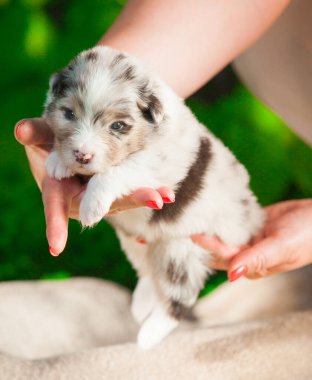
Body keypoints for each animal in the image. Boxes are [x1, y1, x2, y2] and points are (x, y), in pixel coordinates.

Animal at [43, 46, 264, 348]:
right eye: (69, 114)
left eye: (118, 126)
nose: (82, 155)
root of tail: (254, 218)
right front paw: (58, 161)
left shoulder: (156, 165)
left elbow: (117, 171)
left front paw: (91, 205)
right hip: (136, 242)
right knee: (148, 273)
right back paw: (140, 304)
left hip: (180, 249)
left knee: (179, 296)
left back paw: (149, 335)